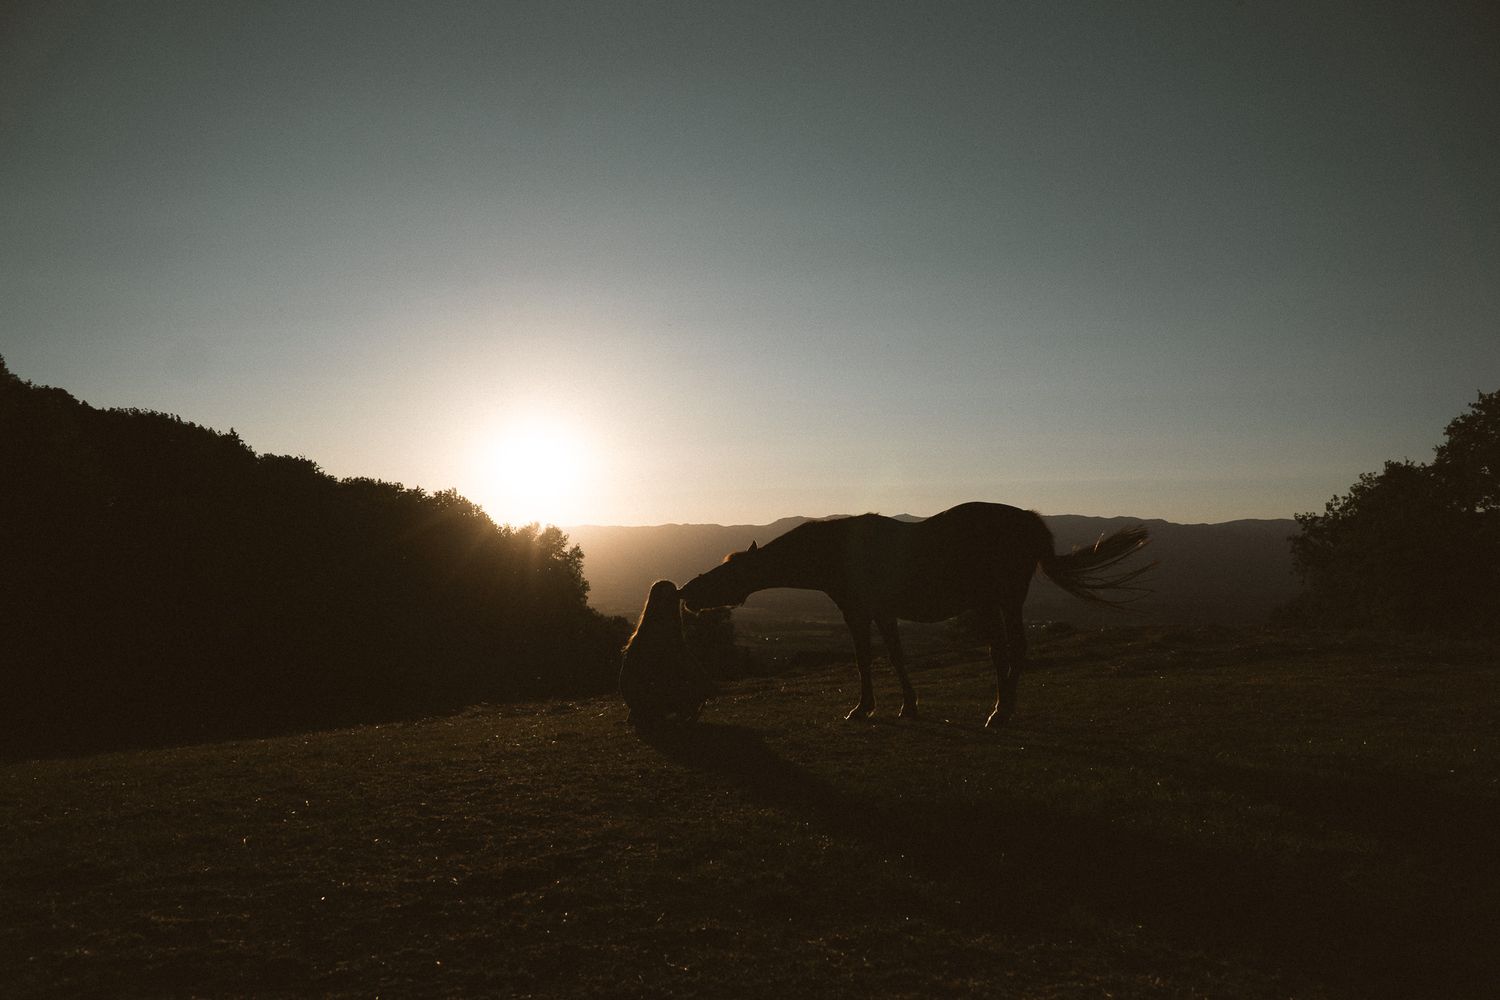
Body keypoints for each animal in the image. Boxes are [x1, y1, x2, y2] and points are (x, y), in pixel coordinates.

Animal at [678, 502, 1150, 727]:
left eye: (728, 570)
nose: (685, 592)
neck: (838, 550)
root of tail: (1031, 522)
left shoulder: (857, 610)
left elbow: (864, 659)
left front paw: (862, 709)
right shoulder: (884, 612)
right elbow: (896, 657)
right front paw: (908, 706)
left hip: (1000, 600)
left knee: (1011, 650)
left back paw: (1000, 713)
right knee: (1007, 651)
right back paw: (1002, 708)